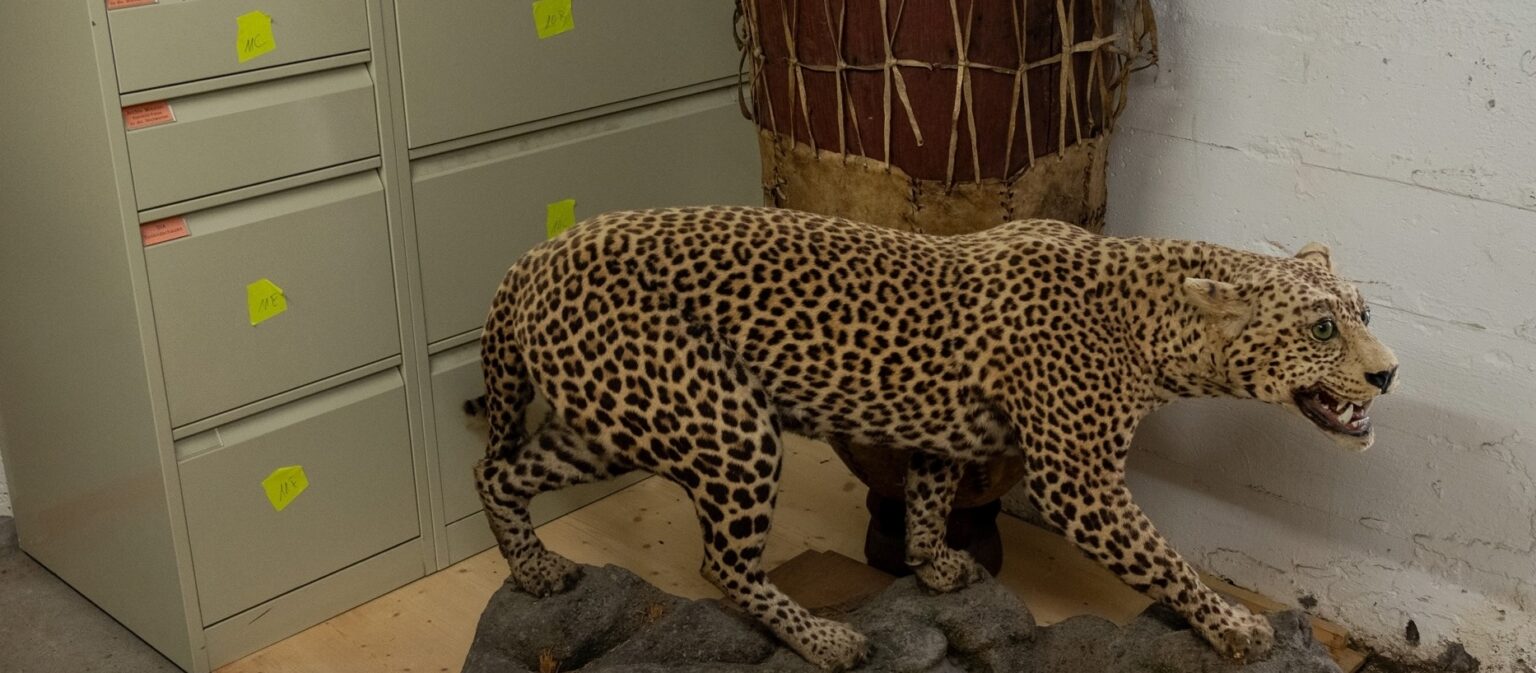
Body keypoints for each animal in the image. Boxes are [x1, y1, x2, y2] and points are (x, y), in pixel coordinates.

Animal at [473, 205, 1398, 670]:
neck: (1156, 326)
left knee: (500, 473)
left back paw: (539, 571)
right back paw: (827, 640)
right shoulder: (1080, 480)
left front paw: (934, 564)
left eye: (1365, 310)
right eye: (1322, 327)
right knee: (721, 564)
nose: (1388, 373)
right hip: (726, 423)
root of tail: (526, 259)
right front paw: (1232, 624)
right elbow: (1163, 558)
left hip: (616, 418)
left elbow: (928, 491)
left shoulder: (939, 432)